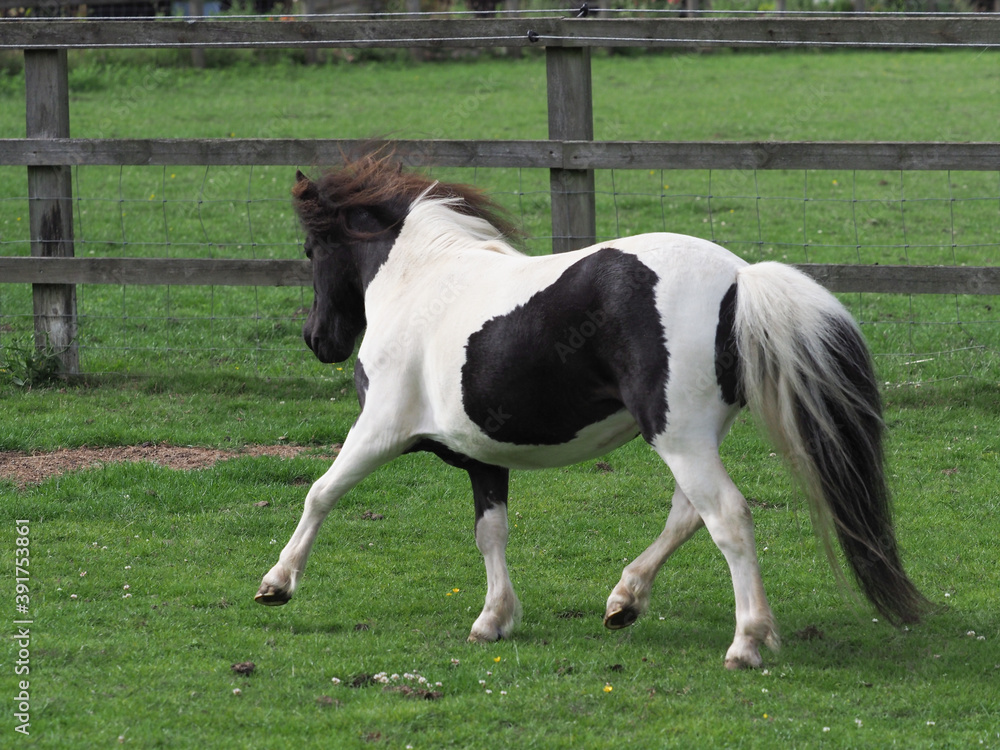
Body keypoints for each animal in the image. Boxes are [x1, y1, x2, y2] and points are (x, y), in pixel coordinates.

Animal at [256, 154, 930, 669]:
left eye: (311, 249)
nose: (318, 340)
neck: (422, 282)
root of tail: (740, 279)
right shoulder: (483, 455)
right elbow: (490, 531)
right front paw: (493, 619)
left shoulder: (380, 428)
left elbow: (320, 492)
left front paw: (277, 583)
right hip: (690, 437)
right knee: (688, 515)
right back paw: (624, 601)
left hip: (679, 438)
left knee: (728, 519)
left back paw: (745, 643)